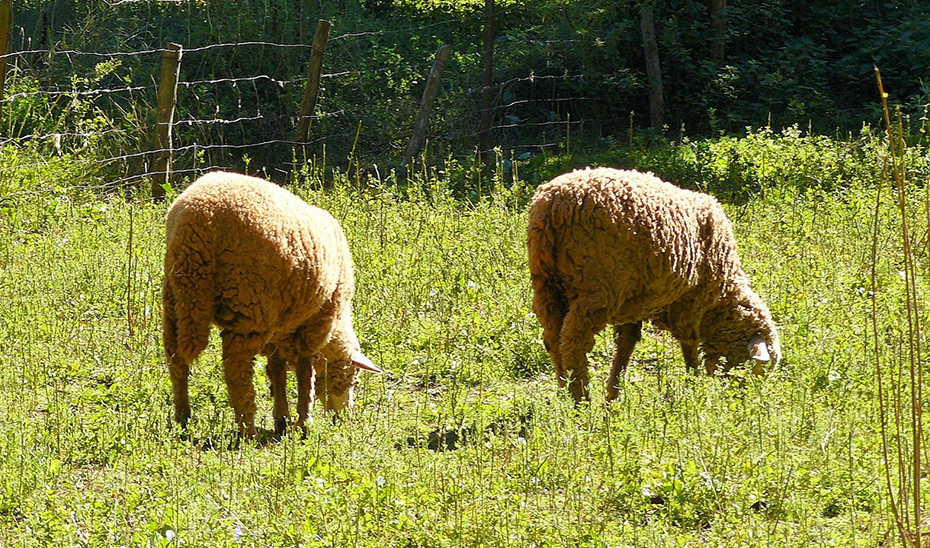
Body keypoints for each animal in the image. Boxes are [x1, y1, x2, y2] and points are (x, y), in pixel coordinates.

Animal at [161, 171, 378, 436]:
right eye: (351, 377)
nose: (344, 418)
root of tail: (197, 221)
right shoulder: (316, 325)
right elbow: (305, 372)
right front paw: (303, 422)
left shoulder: (279, 326)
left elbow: (277, 369)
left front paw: (282, 419)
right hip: (249, 303)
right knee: (237, 371)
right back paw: (248, 430)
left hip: (175, 299)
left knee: (176, 360)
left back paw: (183, 419)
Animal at [524, 167, 780, 402]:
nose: (740, 398)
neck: (721, 296)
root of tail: (555, 206)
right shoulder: (689, 304)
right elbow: (689, 344)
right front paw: (694, 385)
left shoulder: (635, 305)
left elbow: (626, 345)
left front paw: (613, 396)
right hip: (597, 289)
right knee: (573, 344)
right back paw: (581, 401)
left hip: (545, 283)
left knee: (552, 338)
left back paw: (564, 392)